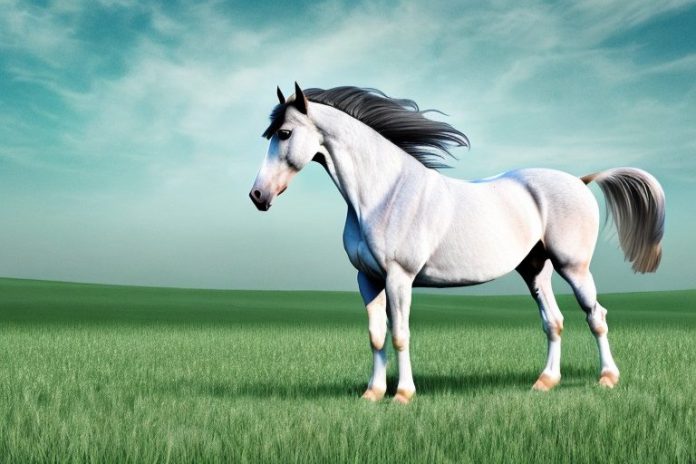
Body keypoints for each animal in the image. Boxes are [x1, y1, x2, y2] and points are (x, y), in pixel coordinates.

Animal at [249, 83, 666, 403]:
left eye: (285, 134)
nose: (257, 196)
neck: (384, 194)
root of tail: (580, 180)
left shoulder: (399, 278)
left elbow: (400, 335)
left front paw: (403, 395)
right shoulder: (368, 280)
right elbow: (376, 336)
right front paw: (372, 393)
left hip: (573, 267)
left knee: (596, 316)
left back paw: (607, 378)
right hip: (535, 270)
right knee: (554, 322)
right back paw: (545, 382)